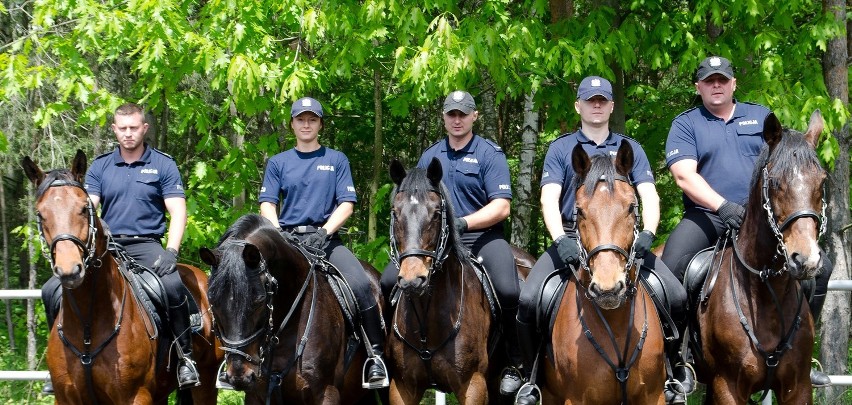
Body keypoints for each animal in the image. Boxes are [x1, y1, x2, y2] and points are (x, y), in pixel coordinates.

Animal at [23, 150, 223, 402]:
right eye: (41, 213)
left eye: (83, 208)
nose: (70, 270)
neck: (88, 325)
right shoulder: (66, 399)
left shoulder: (135, 396)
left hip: (205, 383)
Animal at [544, 141, 668, 400]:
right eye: (580, 210)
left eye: (631, 207)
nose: (607, 288)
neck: (616, 323)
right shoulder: (576, 399)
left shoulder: (654, 396)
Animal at [696, 109, 828, 402]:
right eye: (776, 182)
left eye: (822, 181)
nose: (805, 259)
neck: (767, 293)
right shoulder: (728, 387)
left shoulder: (798, 387)